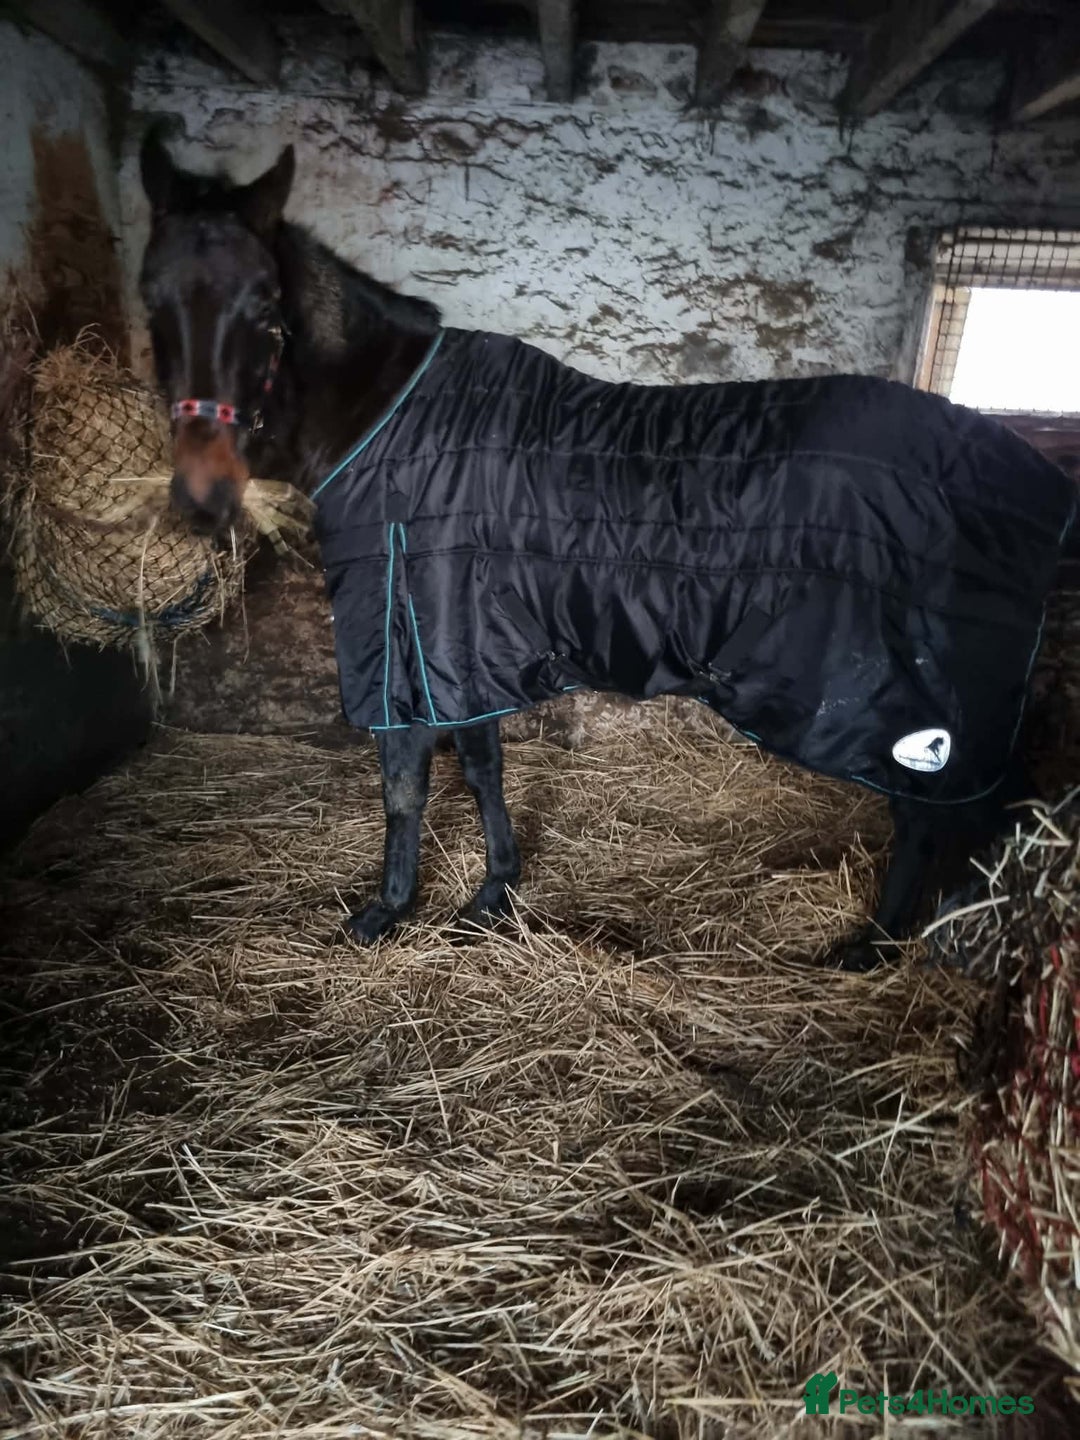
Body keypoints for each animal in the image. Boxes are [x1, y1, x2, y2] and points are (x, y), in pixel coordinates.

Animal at [137, 129, 1077, 970]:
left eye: (267, 307)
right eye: (151, 298)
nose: (201, 495)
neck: (390, 420)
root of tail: (1033, 483)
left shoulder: (404, 640)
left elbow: (404, 785)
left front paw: (384, 913)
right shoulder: (459, 651)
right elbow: (482, 769)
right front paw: (491, 895)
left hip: (915, 716)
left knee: (938, 822)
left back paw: (879, 946)